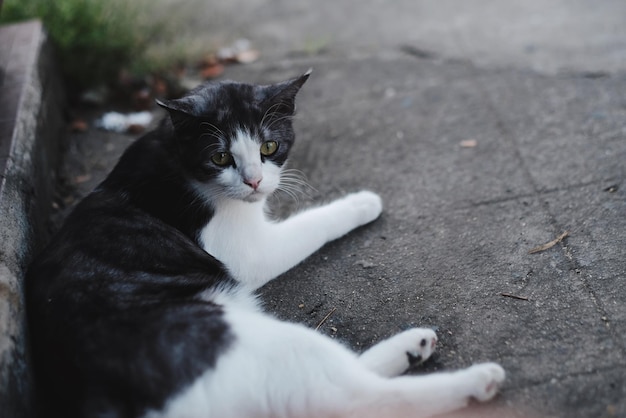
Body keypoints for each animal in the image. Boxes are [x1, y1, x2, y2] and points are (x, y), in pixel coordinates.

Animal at [26, 70, 502, 416]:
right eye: (220, 157)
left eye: (269, 147)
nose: (255, 181)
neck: (175, 158)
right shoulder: (249, 252)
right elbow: (311, 223)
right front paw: (361, 203)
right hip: (256, 342)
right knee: (353, 398)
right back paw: (477, 379)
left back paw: (412, 347)